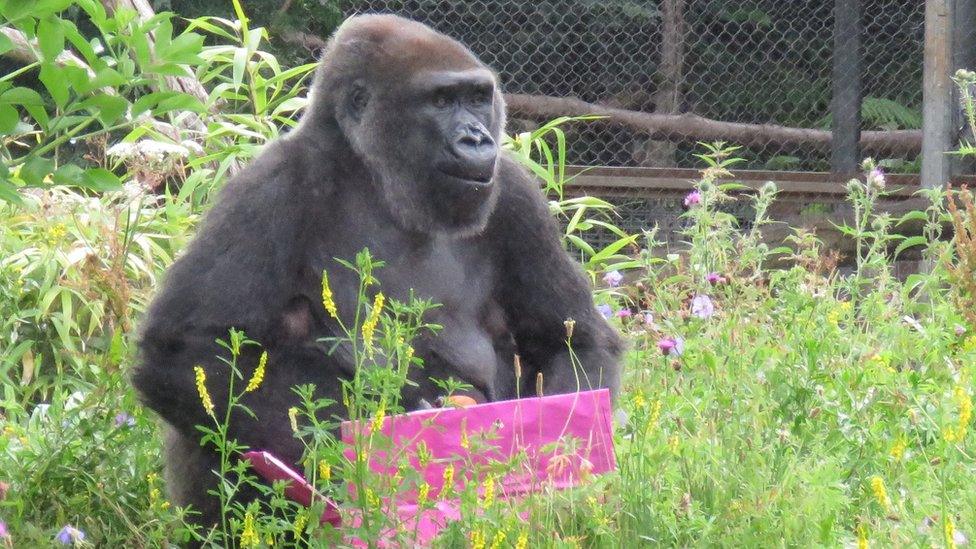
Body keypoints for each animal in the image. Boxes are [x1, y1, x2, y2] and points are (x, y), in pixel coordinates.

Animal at [132, 12, 616, 528]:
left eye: (476, 98)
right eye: (440, 101)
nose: (476, 138)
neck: (373, 175)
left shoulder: (516, 195)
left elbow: (573, 342)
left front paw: (561, 460)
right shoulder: (270, 184)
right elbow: (189, 350)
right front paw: (368, 458)